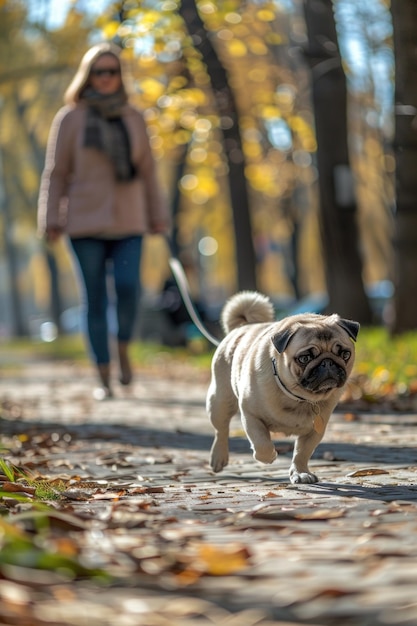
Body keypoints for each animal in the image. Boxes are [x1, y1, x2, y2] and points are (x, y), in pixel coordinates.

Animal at [206, 292, 358, 482]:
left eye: (345, 354)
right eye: (305, 358)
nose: (327, 363)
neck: (298, 397)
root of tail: (244, 326)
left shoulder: (316, 429)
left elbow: (302, 453)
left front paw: (301, 472)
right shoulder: (251, 416)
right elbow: (262, 443)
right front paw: (269, 456)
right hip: (220, 401)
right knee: (221, 430)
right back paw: (218, 458)